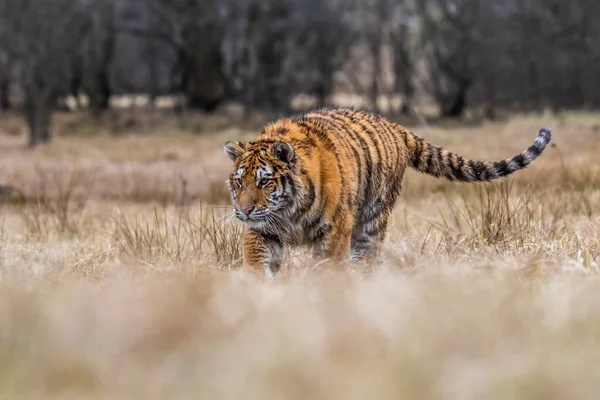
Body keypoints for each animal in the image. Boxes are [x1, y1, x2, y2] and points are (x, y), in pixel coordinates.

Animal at [223, 105, 552, 278]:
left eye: (264, 182)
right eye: (239, 183)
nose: (244, 210)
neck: (288, 212)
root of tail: (395, 125)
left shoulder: (335, 227)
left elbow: (329, 264)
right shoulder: (262, 230)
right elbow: (256, 260)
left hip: (373, 214)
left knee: (367, 251)